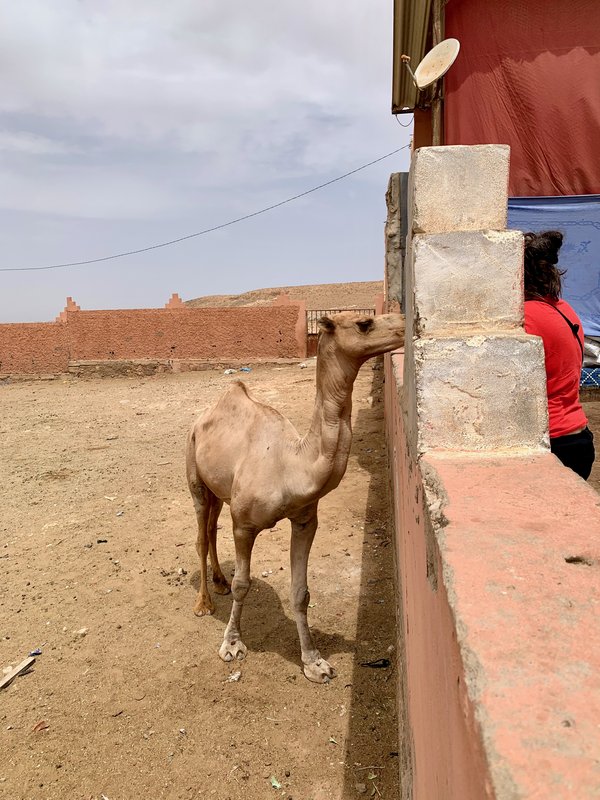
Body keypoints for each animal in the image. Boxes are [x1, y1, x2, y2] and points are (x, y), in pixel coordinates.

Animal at [185, 310, 406, 684]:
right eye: (364, 323)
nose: (406, 324)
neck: (291, 464)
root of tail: (202, 418)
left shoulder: (305, 519)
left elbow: (301, 593)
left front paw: (314, 663)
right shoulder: (244, 524)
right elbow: (244, 583)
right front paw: (232, 644)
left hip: (221, 490)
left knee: (213, 528)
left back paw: (219, 583)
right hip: (195, 475)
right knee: (202, 534)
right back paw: (203, 603)